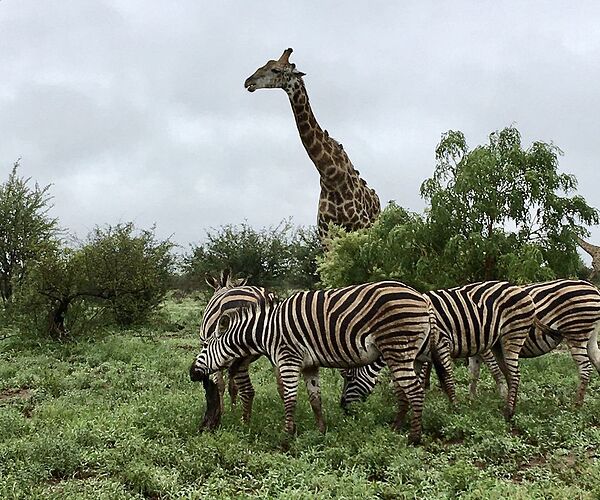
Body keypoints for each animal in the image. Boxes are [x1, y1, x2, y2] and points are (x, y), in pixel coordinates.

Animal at [191, 280, 454, 444]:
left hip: (398, 348)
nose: (192, 373)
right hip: (415, 353)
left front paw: (286, 435)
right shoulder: (310, 365)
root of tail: (422, 298)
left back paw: (414, 437)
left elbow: (290, 398)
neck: (266, 330)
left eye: (204, 346)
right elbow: (315, 399)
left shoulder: (288, 358)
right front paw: (320, 431)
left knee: (415, 391)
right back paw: (398, 428)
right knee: (408, 390)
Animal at [244, 47, 380, 242]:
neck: (332, 176)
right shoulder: (325, 235)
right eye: (266, 63)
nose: (248, 82)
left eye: (275, 70)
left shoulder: (361, 226)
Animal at [338, 282, 536, 418]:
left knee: (514, 373)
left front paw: (453, 409)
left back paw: (509, 411)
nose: (343, 408)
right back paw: (510, 404)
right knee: (509, 372)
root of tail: (516, 287)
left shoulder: (440, 342)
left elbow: (444, 377)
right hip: (497, 343)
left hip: (512, 335)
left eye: (349, 378)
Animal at [468, 280, 600, 404]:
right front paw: (472, 400)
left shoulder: (486, 346)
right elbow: (474, 372)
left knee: (585, 369)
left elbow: (494, 370)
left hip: (576, 332)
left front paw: (503, 395)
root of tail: (593, 287)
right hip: (590, 336)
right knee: (597, 361)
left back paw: (576, 406)